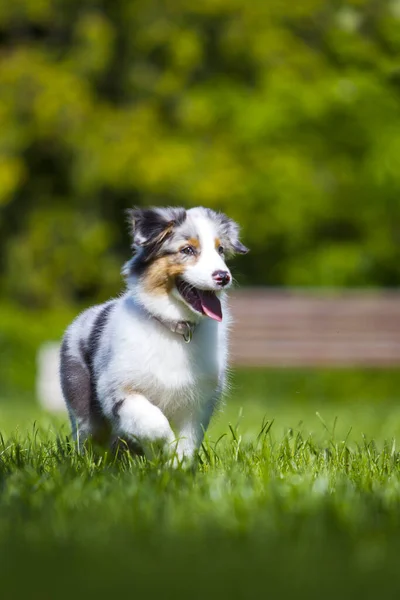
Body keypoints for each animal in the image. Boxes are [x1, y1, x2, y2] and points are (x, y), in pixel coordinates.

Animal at [59, 209, 247, 462]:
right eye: (187, 250)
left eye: (220, 250)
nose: (223, 276)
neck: (175, 327)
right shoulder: (119, 390)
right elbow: (154, 422)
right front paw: (165, 446)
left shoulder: (198, 402)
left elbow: (187, 442)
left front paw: (175, 465)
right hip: (83, 404)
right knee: (90, 439)